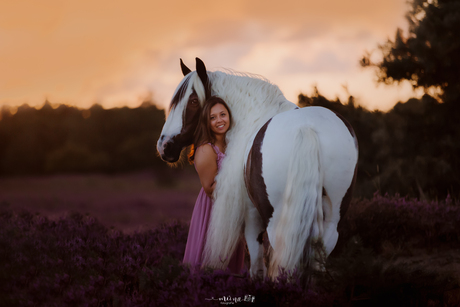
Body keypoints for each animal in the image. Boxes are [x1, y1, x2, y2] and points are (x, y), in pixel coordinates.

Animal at [156, 57, 358, 280]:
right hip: (331, 221)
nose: (164, 146)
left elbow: (256, 262)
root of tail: (306, 127)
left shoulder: (251, 214)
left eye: (192, 101)